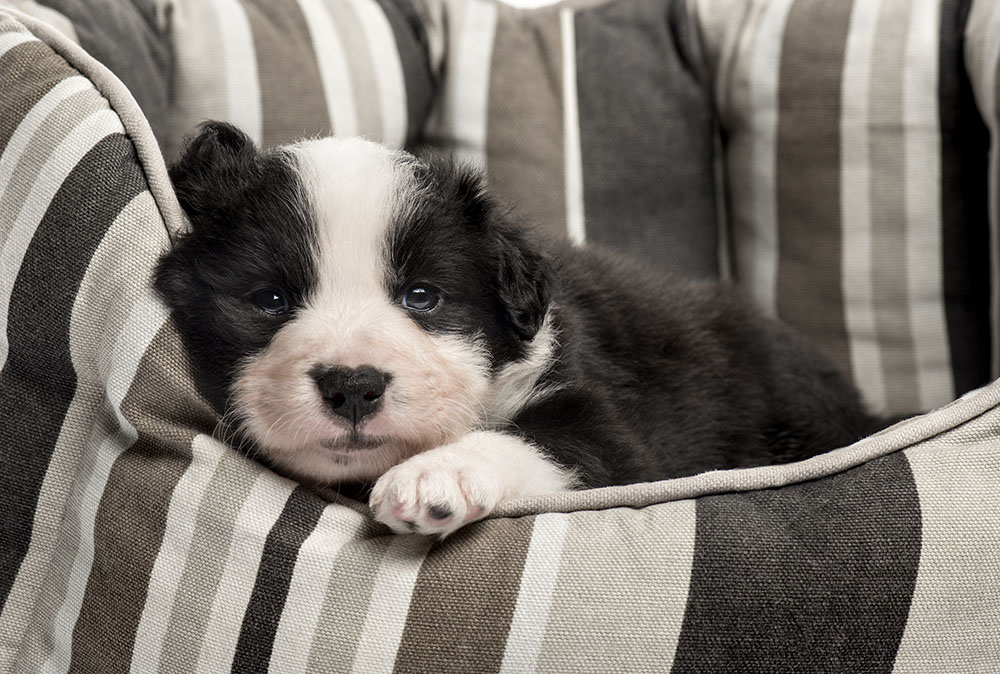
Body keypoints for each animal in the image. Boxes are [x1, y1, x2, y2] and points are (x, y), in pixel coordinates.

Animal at [156, 123, 884, 536]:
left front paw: (436, 476)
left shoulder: (606, 431)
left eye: (423, 296)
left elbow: (535, 440)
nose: (353, 386)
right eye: (269, 299)